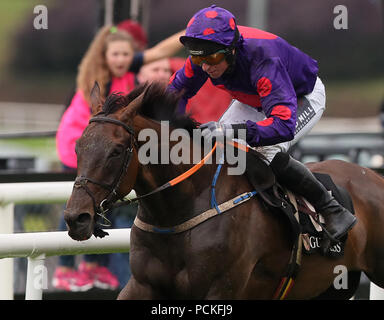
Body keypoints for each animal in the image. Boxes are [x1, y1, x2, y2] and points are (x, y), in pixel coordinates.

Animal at [63, 82, 384, 300]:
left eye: (116, 151)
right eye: (78, 146)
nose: (76, 218)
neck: (179, 211)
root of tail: (374, 177)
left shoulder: (221, 289)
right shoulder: (141, 285)